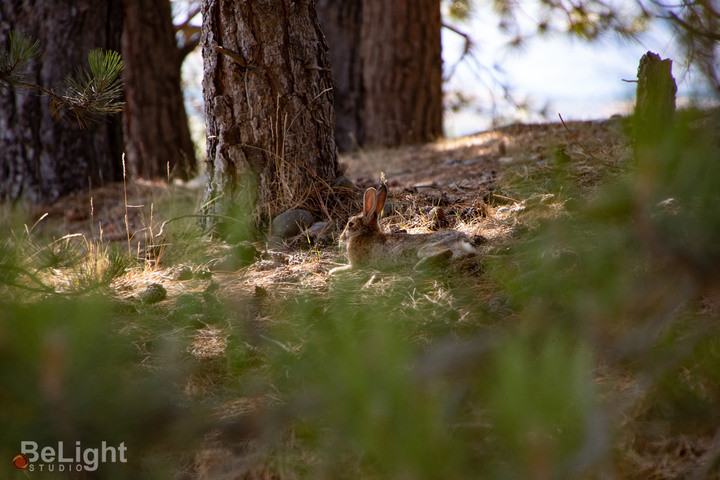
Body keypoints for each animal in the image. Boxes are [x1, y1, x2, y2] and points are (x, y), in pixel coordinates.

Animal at [330, 184, 478, 274]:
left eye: (350, 224)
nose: (341, 238)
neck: (365, 234)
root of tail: (461, 239)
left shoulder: (355, 264)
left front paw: (333, 271)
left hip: (424, 249)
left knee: (445, 252)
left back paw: (419, 265)